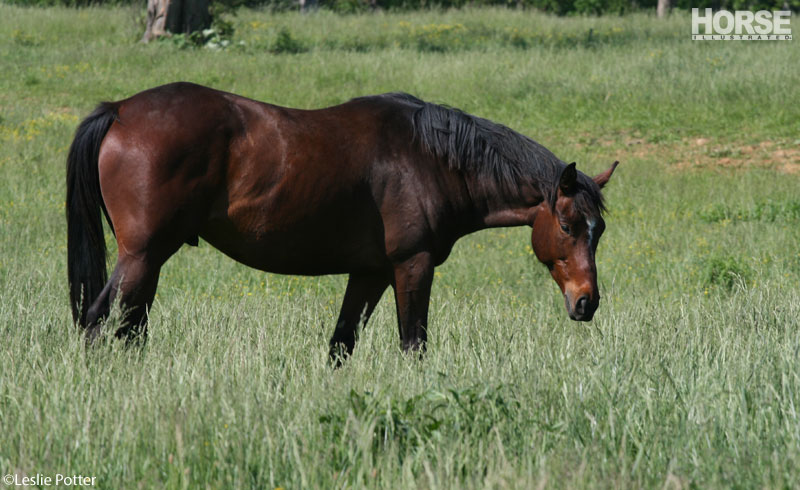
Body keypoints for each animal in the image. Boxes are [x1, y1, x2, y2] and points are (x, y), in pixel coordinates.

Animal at [66, 82, 618, 361]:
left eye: (600, 230)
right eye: (568, 226)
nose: (587, 302)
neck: (429, 158)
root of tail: (120, 110)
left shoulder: (369, 273)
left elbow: (341, 345)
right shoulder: (412, 265)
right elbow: (413, 344)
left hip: (150, 261)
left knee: (128, 327)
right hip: (142, 256)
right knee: (97, 323)